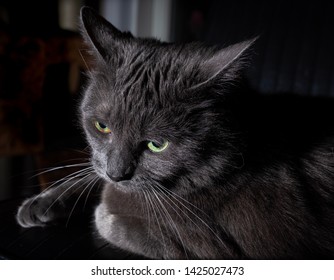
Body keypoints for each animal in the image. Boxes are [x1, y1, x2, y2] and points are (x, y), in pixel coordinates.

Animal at [17, 6, 334, 260]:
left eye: (157, 145)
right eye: (102, 126)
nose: (117, 174)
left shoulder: (222, 246)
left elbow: (114, 218)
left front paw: (102, 209)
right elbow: (89, 178)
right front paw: (42, 201)